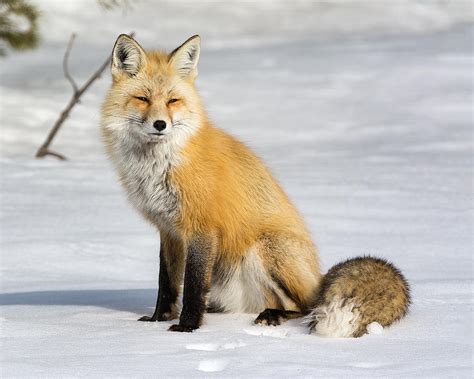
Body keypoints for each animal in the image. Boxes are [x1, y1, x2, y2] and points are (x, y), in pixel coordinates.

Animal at [101, 35, 412, 338]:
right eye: (142, 99)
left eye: (172, 100)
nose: (160, 124)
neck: (161, 164)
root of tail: (319, 277)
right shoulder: (169, 230)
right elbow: (166, 283)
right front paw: (157, 320)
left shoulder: (201, 227)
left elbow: (192, 286)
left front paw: (187, 327)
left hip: (267, 250)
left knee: (305, 305)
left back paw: (274, 316)